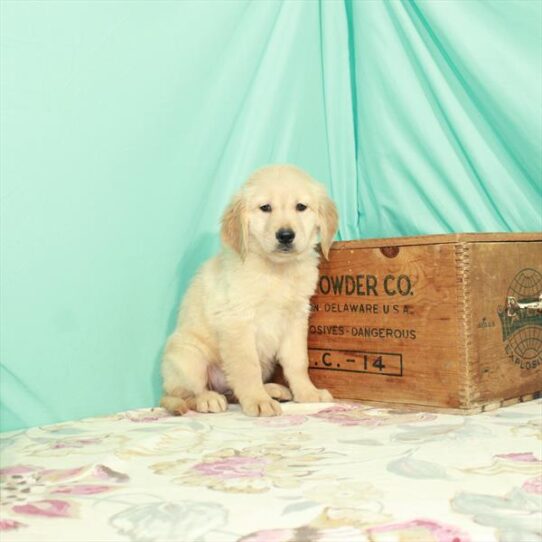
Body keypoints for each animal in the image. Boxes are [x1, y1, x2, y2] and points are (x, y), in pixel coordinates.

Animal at [162, 164, 338, 418]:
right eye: (265, 208)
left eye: (301, 207)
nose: (285, 235)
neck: (276, 271)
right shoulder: (237, 321)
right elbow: (247, 366)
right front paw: (258, 401)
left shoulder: (296, 319)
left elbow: (298, 361)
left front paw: (307, 392)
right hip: (187, 356)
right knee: (186, 392)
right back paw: (209, 399)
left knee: (232, 391)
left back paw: (273, 389)